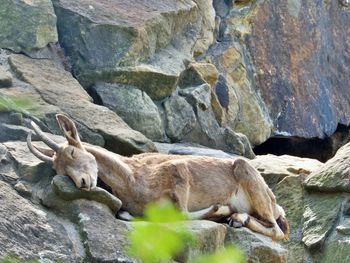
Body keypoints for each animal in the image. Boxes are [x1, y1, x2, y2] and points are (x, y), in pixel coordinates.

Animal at [26, 114, 290, 242]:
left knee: (278, 231)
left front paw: (220, 209)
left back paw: (236, 218)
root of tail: (275, 203)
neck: (130, 179)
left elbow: (181, 214)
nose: (83, 183)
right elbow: (128, 215)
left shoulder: (178, 171)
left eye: (72, 152)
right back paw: (238, 217)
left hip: (249, 177)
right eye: (59, 169)